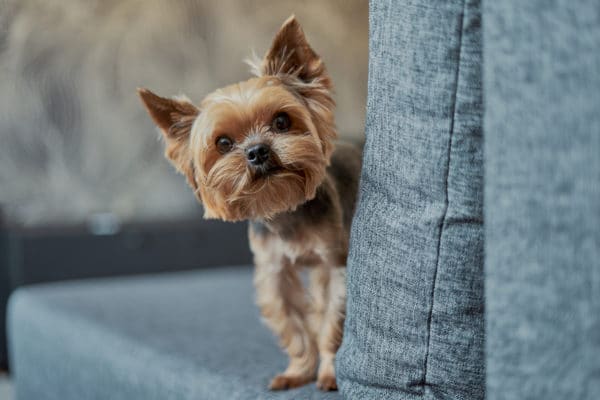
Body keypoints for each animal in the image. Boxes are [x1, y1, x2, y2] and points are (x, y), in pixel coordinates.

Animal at [137, 15, 360, 390]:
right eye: (223, 143)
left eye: (282, 121)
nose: (257, 151)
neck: (284, 210)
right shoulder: (274, 273)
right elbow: (294, 326)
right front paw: (298, 372)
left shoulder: (333, 263)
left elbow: (332, 319)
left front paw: (329, 374)